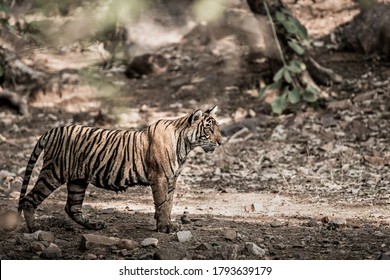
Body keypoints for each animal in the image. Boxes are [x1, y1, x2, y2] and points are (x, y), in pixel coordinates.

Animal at [17, 106, 222, 233]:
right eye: (208, 129)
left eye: (217, 128)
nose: (221, 142)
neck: (185, 144)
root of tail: (53, 130)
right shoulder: (160, 177)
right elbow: (163, 202)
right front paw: (165, 227)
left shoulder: (171, 179)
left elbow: (168, 203)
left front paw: (163, 222)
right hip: (53, 172)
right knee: (29, 199)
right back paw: (34, 229)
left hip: (78, 180)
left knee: (72, 207)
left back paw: (94, 225)